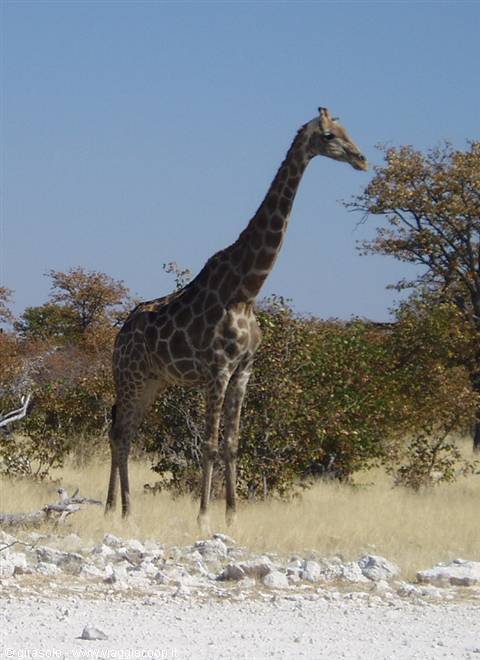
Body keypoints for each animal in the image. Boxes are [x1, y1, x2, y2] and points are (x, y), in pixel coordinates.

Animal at [105, 107, 368, 527]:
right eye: (329, 135)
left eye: (348, 130)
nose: (361, 159)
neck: (246, 290)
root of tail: (119, 335)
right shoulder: (218, 370)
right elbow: (209, 444)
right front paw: (203, 517)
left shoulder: (244, 371)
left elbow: (231, 443)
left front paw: (232, 515)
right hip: (130, 376)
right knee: (120, 433)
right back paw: (122, 512)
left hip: (151, 382)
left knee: (122, 432)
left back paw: (117, 509)